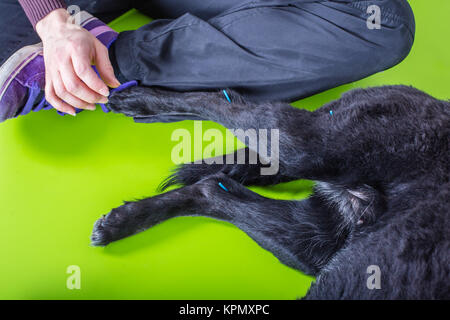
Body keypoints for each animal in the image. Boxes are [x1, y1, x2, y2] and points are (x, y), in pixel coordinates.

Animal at [91, 85, 450, 300]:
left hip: (311, 240)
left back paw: (123, 220)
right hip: (310, 146)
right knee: (221, 100)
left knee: (212, 188)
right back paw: (141, 101)